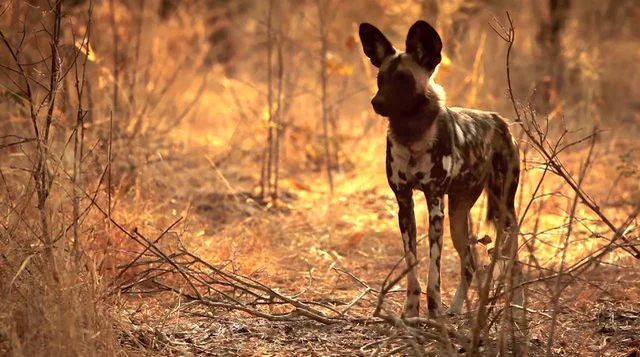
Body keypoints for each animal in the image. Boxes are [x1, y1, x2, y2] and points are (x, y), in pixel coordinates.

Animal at [358, 20, 524, 318]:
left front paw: (433, 309)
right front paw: (412, 310)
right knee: (469, 264)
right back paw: (457, 310)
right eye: (381, 79)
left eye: (404, 79)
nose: (377, 102)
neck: (412, 136)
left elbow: (433, 269)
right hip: (459, 215)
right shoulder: (404, 203)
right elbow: (412, 265)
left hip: (503, 208)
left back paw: (516, 308)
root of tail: (500, 121)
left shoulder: (435, 203)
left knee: (514, 258)